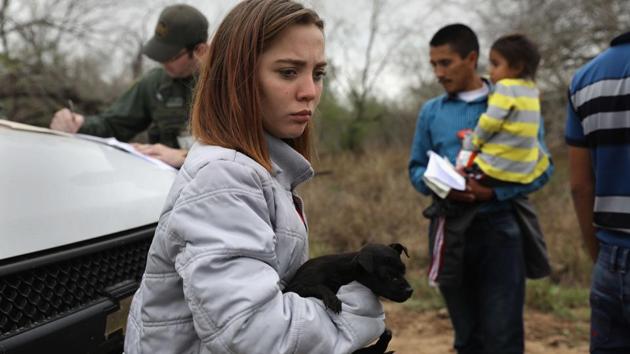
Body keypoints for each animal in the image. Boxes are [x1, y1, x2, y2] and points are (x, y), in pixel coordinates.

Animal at [286, 243, 414, 354]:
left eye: (403, 270)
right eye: (387, 275)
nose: (410, 291)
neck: (345, 271)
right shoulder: (295, 287)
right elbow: (319, 286)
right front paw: (332, 299)